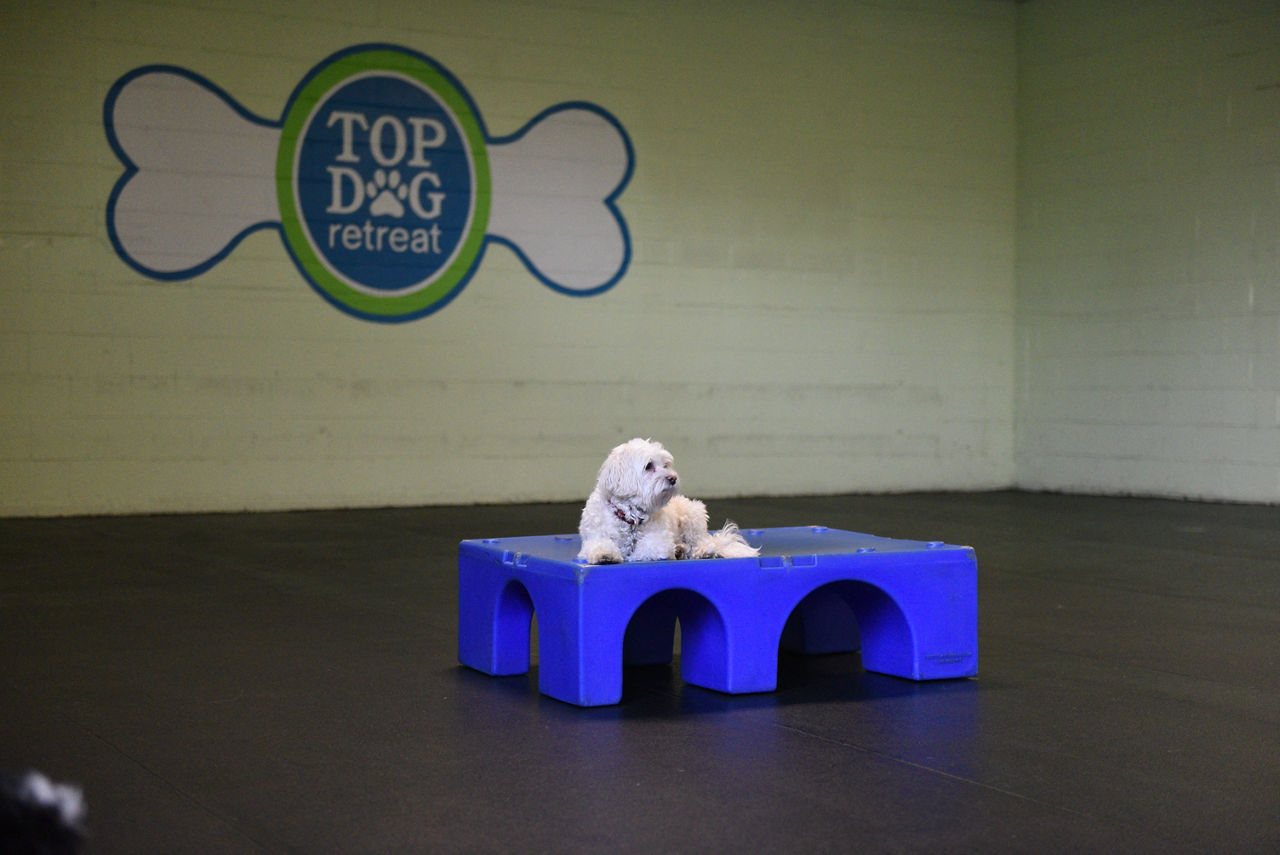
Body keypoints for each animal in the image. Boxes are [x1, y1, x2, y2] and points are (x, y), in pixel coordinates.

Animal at [578, 437, 757, 563]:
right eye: (648, 466)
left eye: (666, 465)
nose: (673, 478)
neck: (630, 518)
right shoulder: (593, 538)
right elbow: (600, 546)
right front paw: (605, 555)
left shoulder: (659, 540)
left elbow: (647, 549)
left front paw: (633, 555)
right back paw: (680, 550)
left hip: (693, 515)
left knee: (700, 541)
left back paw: (699, 551)